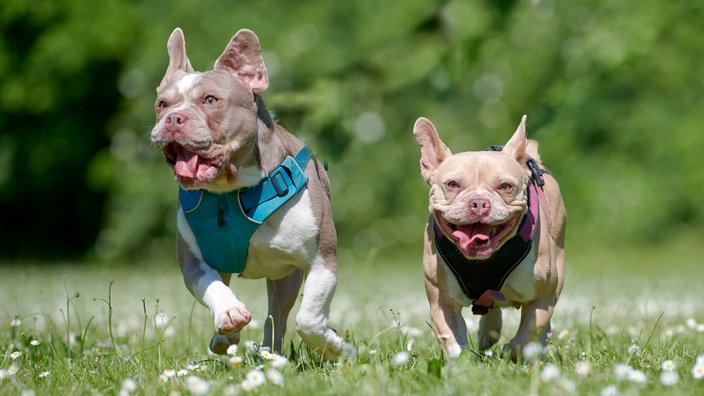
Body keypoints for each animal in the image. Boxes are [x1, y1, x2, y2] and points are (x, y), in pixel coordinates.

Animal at [152, 29, 346, 360]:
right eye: (162, 104)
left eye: (211, 100)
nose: (173, 118)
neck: (232, 193)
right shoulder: (194, 260)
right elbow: (211, 285)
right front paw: (229, 315)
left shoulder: (323, 261)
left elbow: (309, 318)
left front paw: (332, 344)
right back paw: (231, 339)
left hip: (286, 277)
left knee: (278, 316)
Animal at [412, 116, 568, 360]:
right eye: (452, 184)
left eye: (505, 186)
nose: (478, 202)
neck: (483, 260)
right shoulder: (441, 302)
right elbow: (451, 337)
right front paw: (462, 362)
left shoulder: (542, 298)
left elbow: (528, 333)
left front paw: (512, 351)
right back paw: (489, 333)